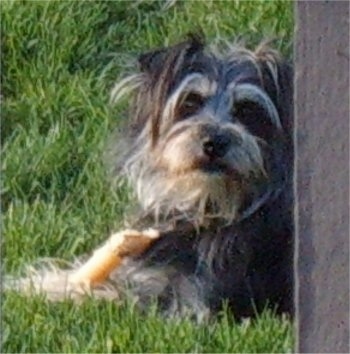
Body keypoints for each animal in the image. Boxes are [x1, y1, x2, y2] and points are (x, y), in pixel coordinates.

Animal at [6, 35, 294, 320]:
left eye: (246, 111)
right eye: (190, 103)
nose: (214, 143)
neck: (204, 209)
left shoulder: (191, 303)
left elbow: (109, 292)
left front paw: (39, 291)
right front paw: (40, 281)